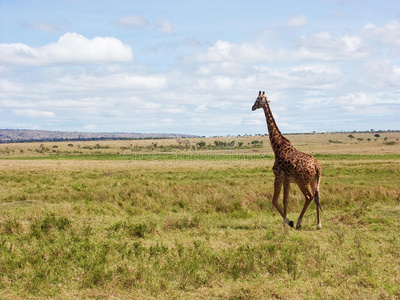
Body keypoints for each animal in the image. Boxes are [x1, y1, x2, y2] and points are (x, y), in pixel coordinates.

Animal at [253, 90, 322, 229]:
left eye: (257, 100)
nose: (252, 107)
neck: (278, 147)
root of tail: (317, 167)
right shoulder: (287, 179)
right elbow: (286, 199)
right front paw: (285, 222)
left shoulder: (278, 176)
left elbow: (274, 200)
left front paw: (288, 221)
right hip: (315, 181)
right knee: (318, 197)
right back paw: (318, 224)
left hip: (302, 181)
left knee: (309, 197)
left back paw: (299, 223)